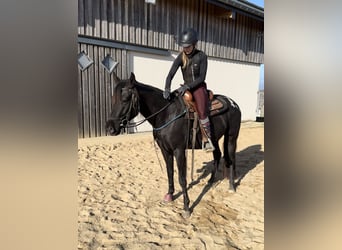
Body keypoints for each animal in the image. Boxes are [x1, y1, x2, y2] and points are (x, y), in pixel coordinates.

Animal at [105, 72, 242, 217]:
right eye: (113, 98)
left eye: (125, 99)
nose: (110, 128)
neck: (166, 114)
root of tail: (233, 103)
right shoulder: (165, 150)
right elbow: (170, 172)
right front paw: (170, 195)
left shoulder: (179, 150)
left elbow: (182, 178)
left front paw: (186, 207)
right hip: (214, 139)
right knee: (217, 155)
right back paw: (210, 181)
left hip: (231, 137)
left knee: (231, 158)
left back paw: (232, 186)